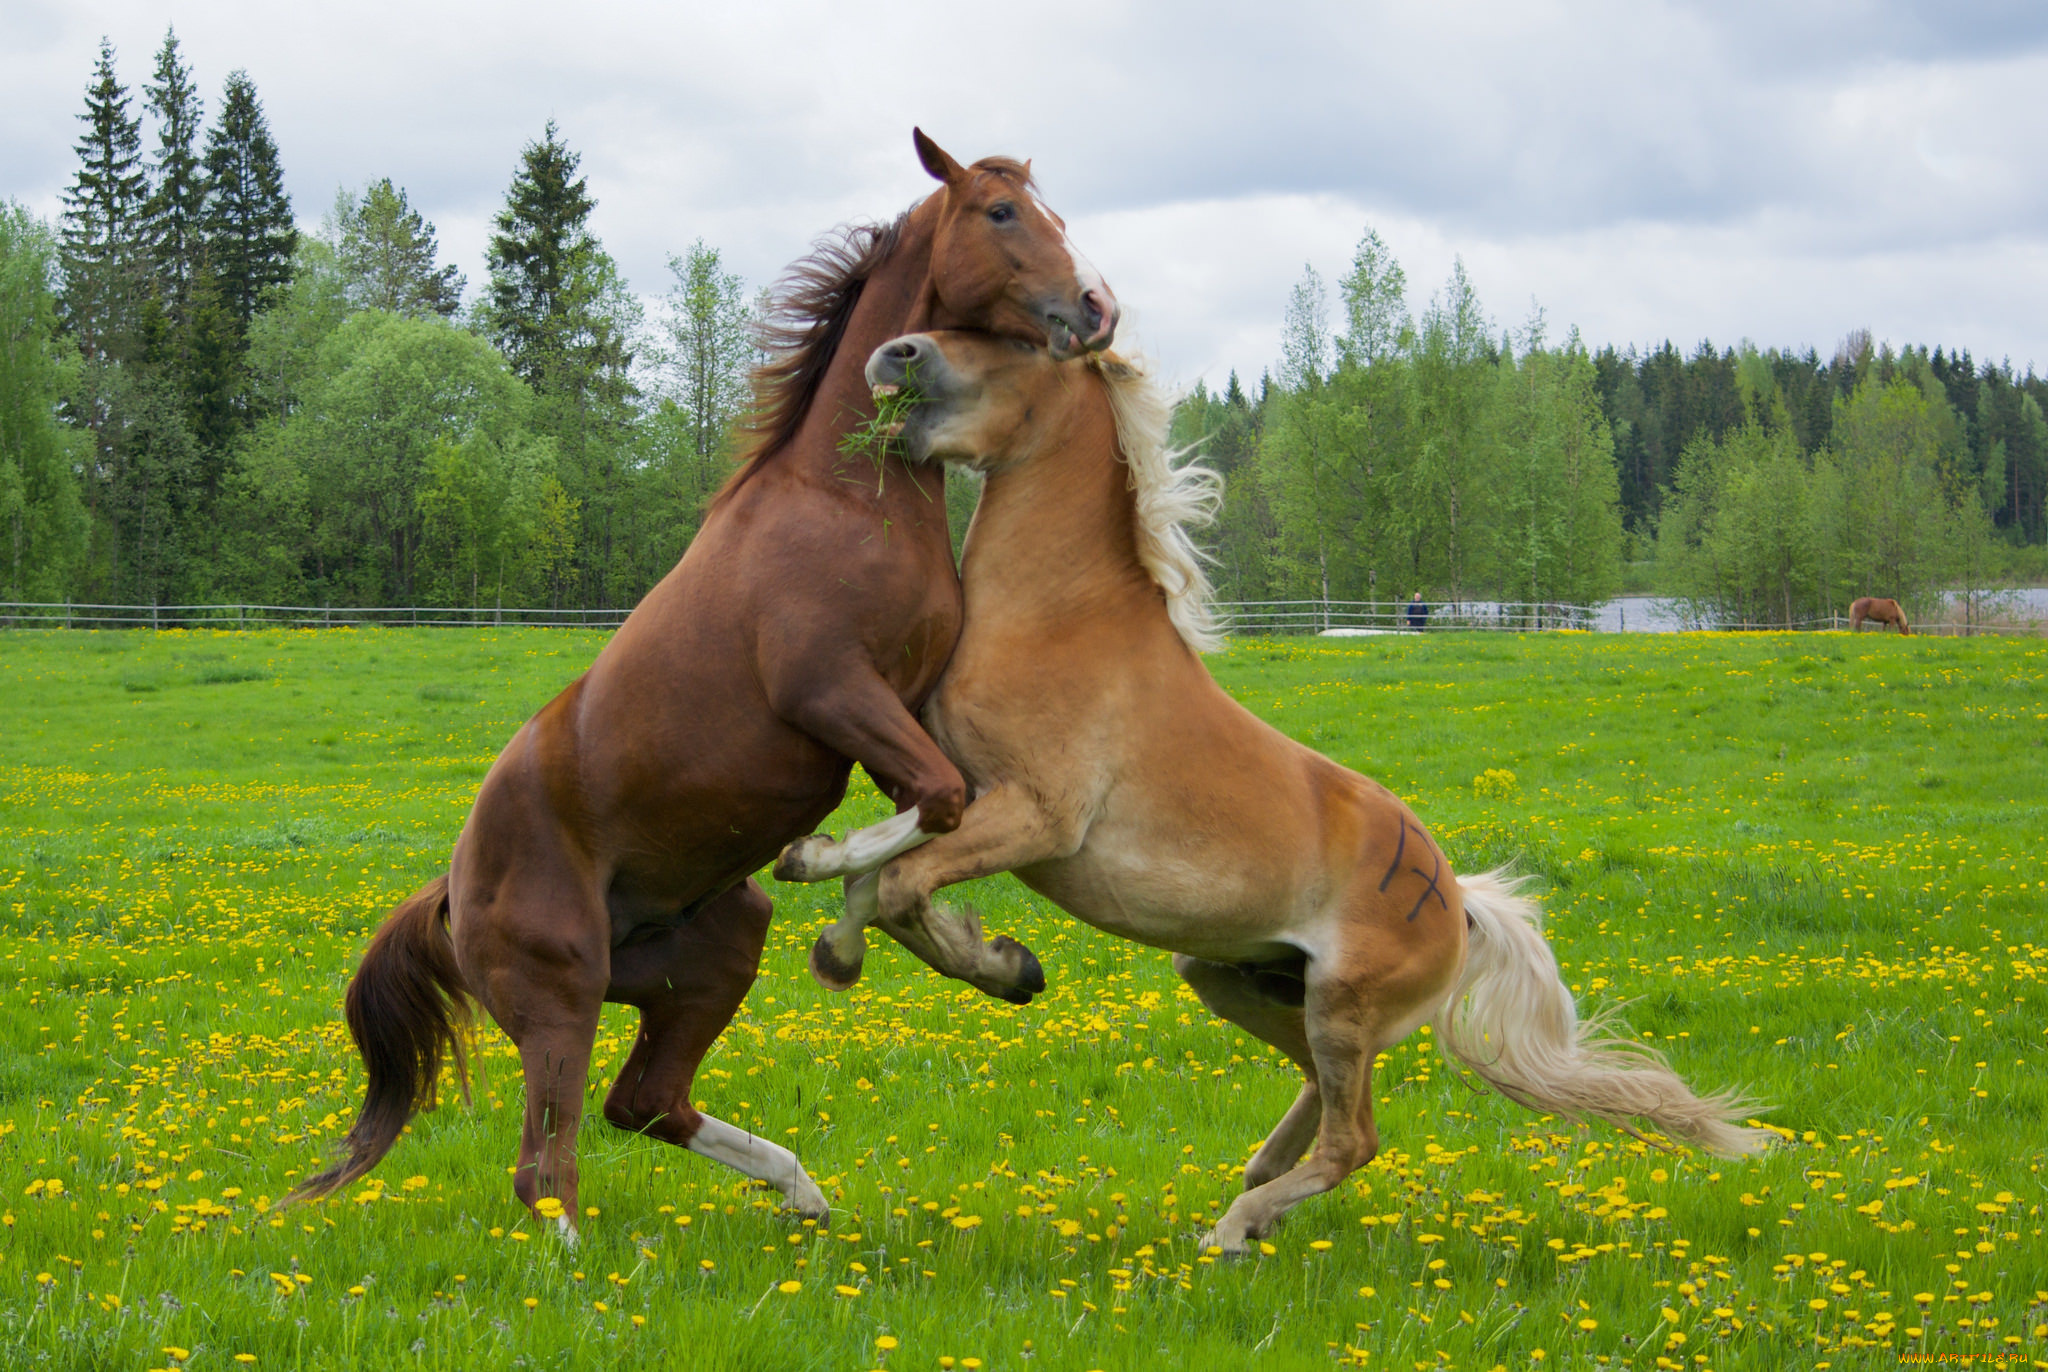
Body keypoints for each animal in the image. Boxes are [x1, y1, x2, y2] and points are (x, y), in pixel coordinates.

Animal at [290, 134, 1122, 1245]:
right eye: (999, 212)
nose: (1096, 306)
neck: (844, 499)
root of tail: (452, 890)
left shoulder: (900, 710)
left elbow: (934, 822)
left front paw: (980, 956)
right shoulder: (832, 692)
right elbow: (937, 805)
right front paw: (825, 867)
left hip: (713, 951)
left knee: (643, 1104)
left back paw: (800, 1191)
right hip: (561, 990)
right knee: (545, 1163)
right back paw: (598, 1262)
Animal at [774, 333, 1769, 1261]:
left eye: (1009, 339)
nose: (897, 352)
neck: (1064, 619)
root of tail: (1458, 903)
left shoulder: (1037, 816)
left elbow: (905, 887)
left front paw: (995, 962)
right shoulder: (969, 792)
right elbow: (880, 865)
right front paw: (824, 898)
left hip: (1339, 1003)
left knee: (1354, 1139)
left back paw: (1235, 1227)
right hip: (1231, 976)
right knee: (1320, 1098)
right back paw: (1260, 1183)